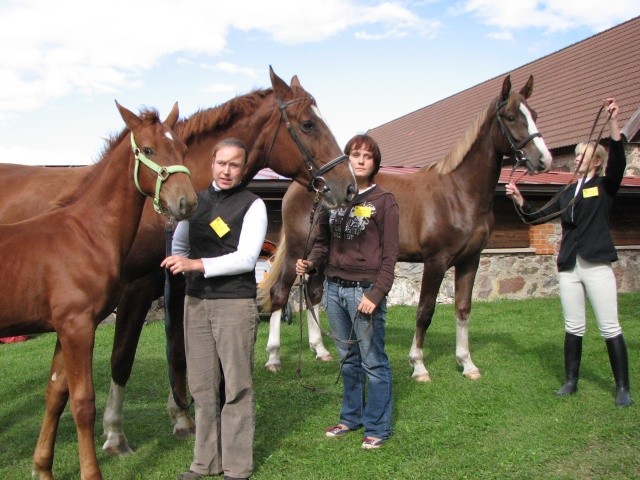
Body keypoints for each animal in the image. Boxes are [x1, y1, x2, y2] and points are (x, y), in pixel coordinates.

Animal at [0, 103, 198, 478]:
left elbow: (55, 395)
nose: (187, 203)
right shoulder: (77, 326)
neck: (86, 233)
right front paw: (92, 470)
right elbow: (82, 403)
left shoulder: (64, 329)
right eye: (148, 150)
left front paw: (41, 468)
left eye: (183, 148)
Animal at [258, 76, 552, 378]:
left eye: (535, 114)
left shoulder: (470, 260)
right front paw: (418, 364)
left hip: (320, 254)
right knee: (279, 294)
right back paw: (274, 357)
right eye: (511, 117)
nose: (543, 159)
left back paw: (320, 350)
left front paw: (467, 362)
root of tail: (305, 186)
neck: (459, 193)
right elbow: (425, 311)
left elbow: (463, 309)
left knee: (313, 294)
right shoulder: (436, 261)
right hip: (297, 253)